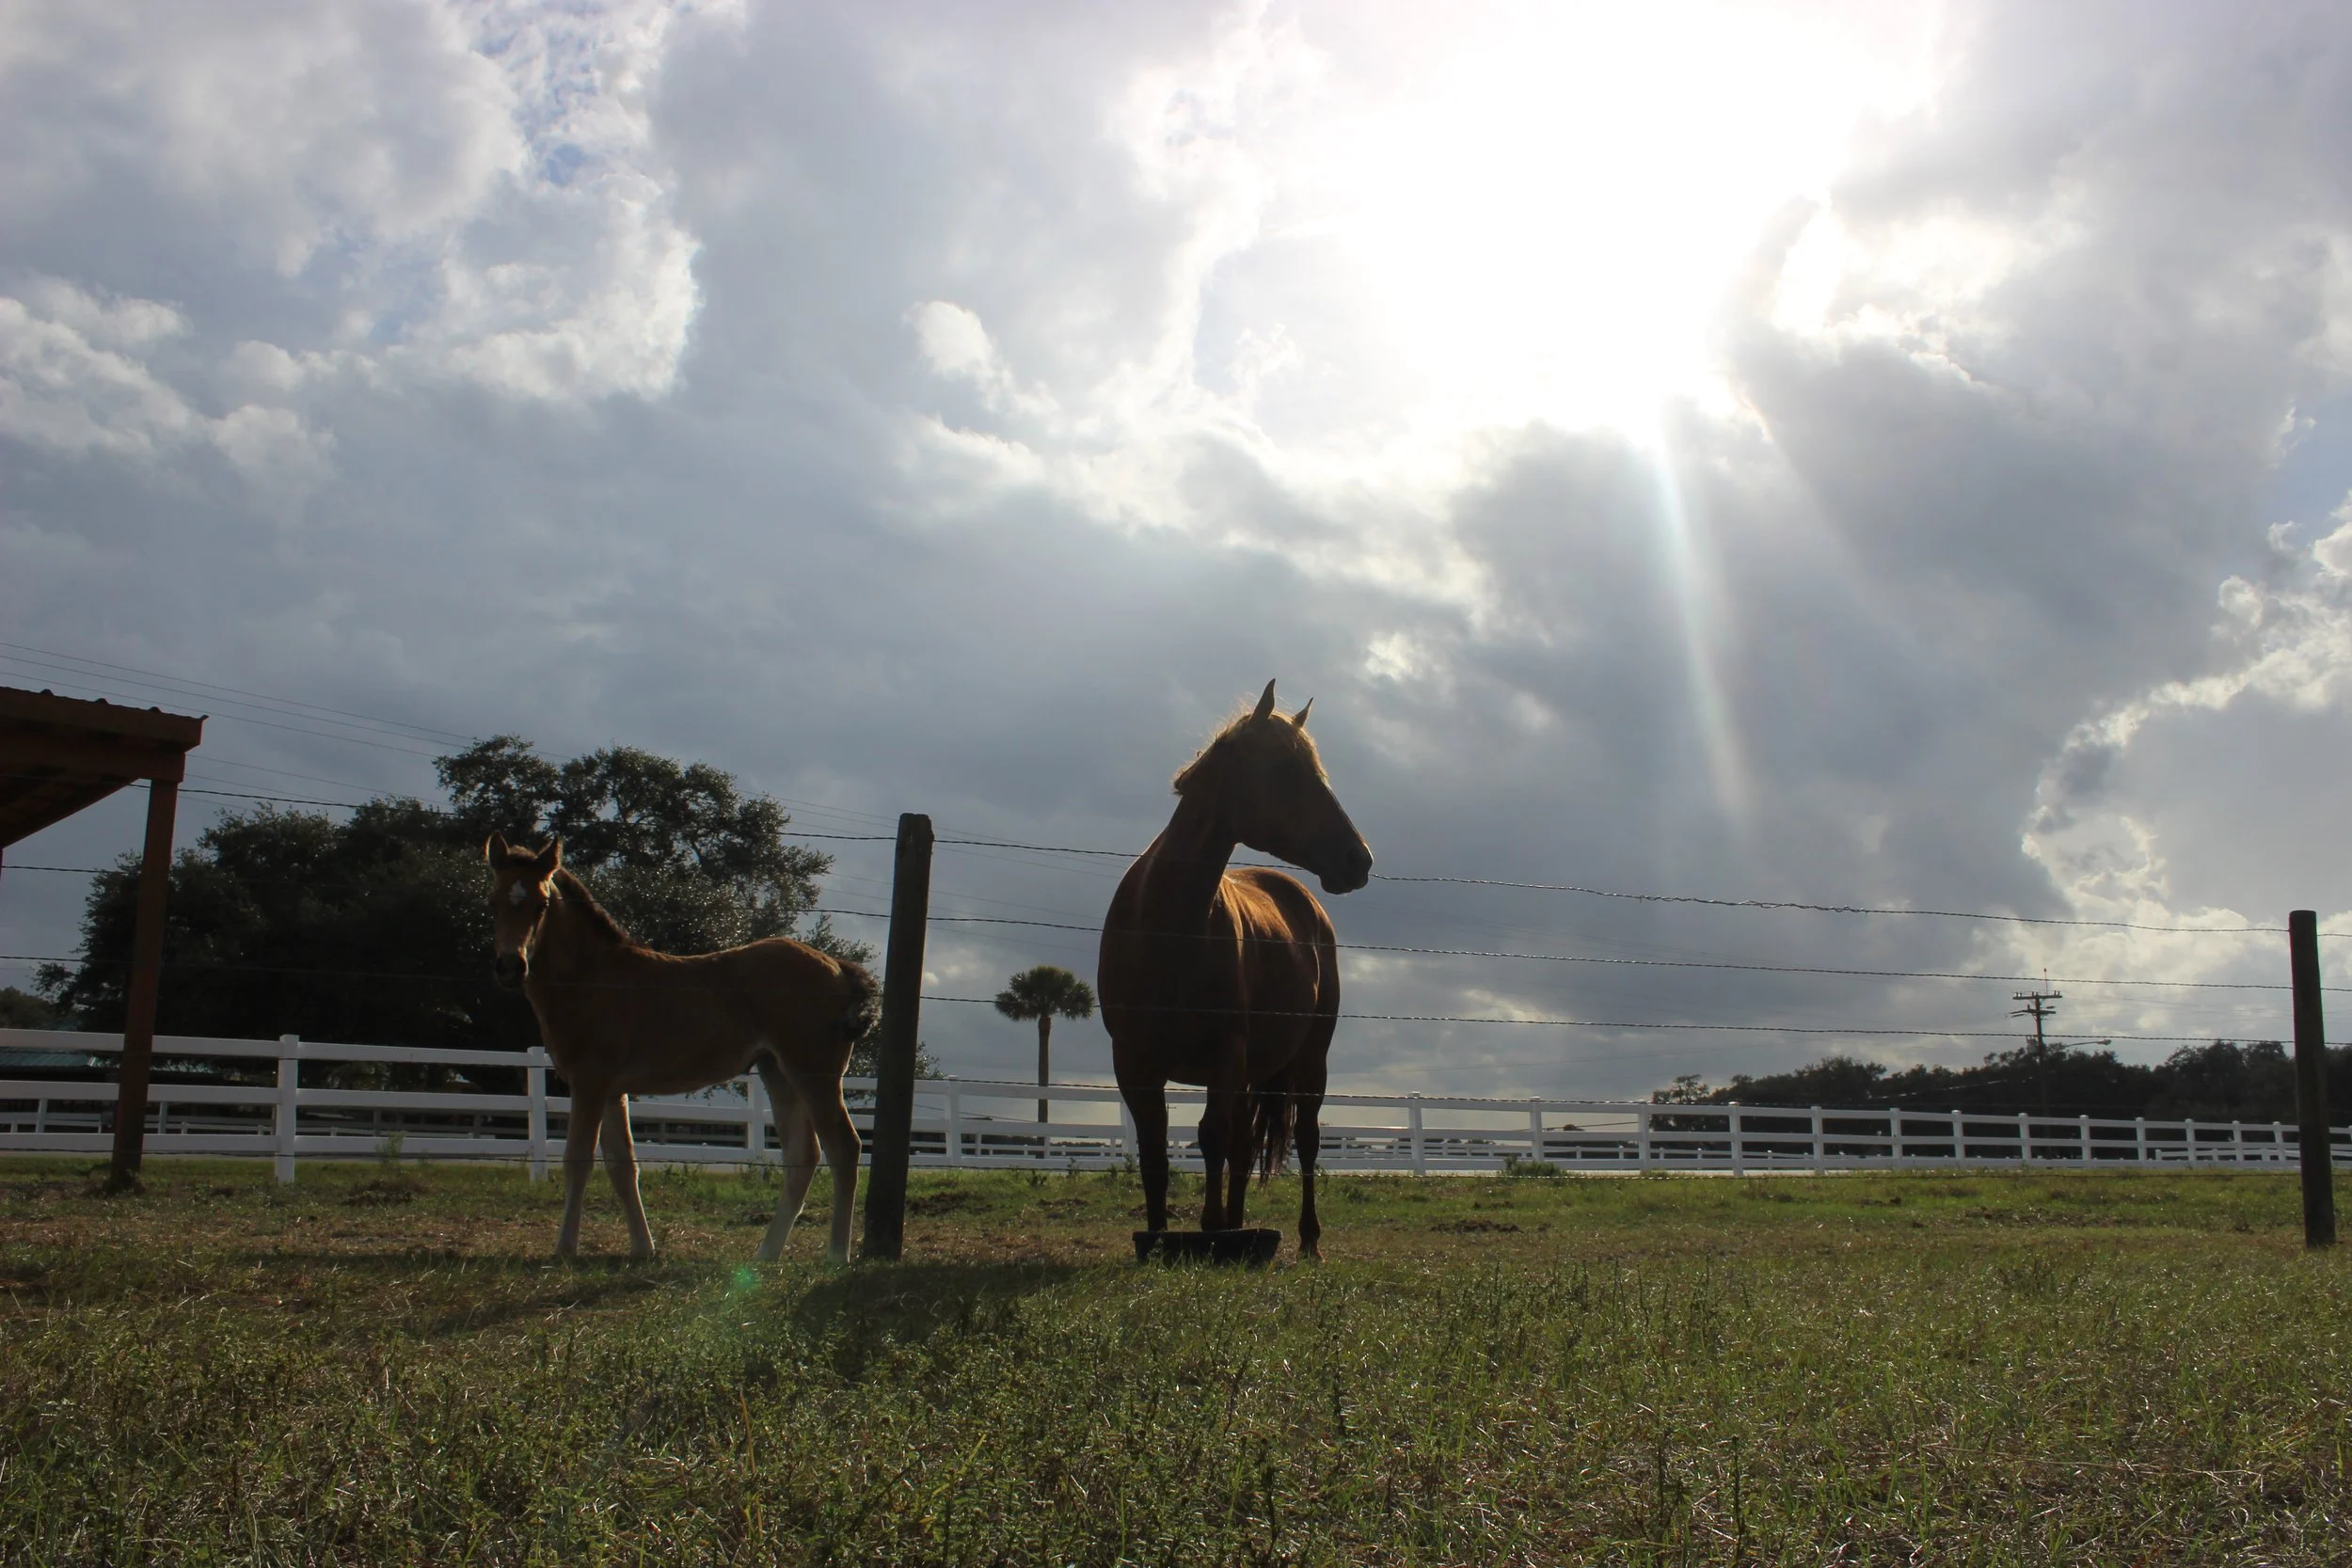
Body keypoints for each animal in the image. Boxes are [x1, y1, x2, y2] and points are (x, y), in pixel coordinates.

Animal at [484, 835, 877, 1263]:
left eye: (541, 905)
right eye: (493, 902)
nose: (509, 966)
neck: (590, 978)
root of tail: (839, 969)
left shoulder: (589, 1081)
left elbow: (578, 1160)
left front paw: (564, 1249)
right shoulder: (612, 1090)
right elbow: (623, 1166)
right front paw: (643, 1248)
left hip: (814, 1075)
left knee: (844, 1149)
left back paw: (836, 1253)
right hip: (778, 1073)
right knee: (802, 1156)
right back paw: (766, 1253)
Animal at [1098, 680, 1374, 1259]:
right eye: (1288, 771)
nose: (1359, 860)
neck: (1168, 928)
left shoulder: (1226, 1054)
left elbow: (1211, 1137)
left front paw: (1210, 1231)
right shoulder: (1132, 1061)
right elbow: (1155, 1147)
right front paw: (1160, 1236)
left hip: (1308, 1061)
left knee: (1303, 1140)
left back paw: (1308, 1241)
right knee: (1245, 1149)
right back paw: (1239, 1223)